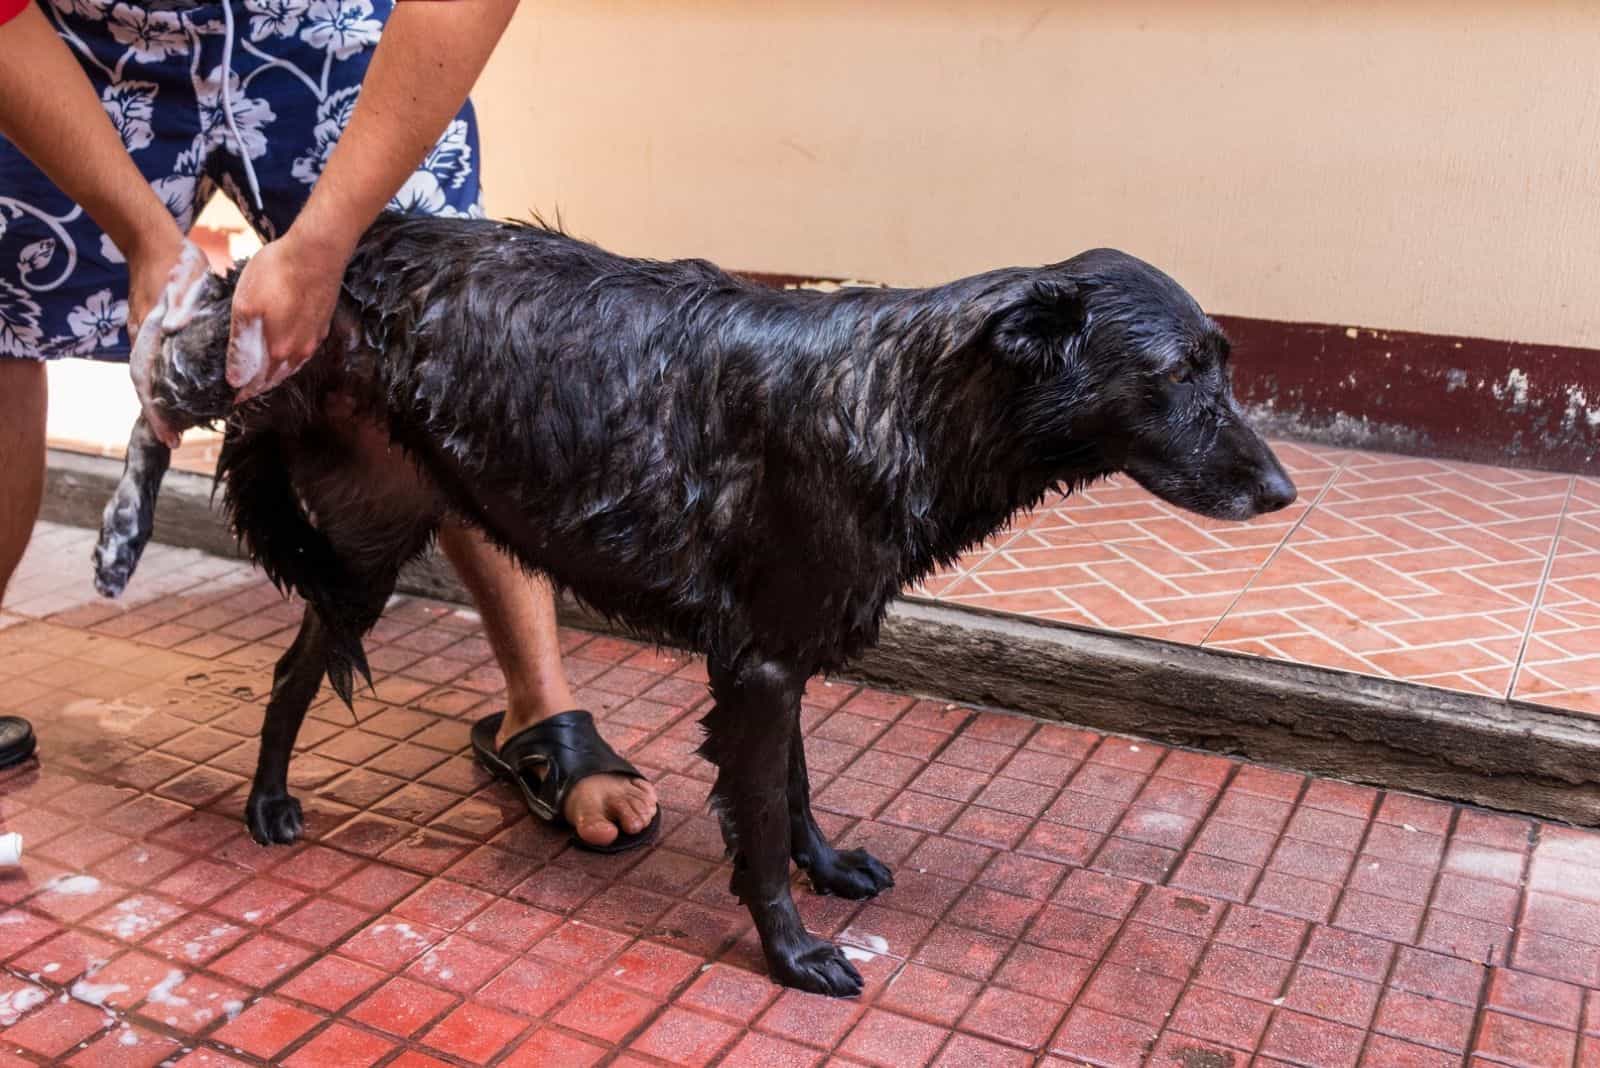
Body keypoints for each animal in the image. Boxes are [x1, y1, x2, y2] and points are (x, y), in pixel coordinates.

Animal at [93, 212, 1292, 997]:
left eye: (1225, 365)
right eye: (1177, 375)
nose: (1282, 491)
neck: (903, 396)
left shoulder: (782, 646)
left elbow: (795, 793)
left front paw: (828, 869)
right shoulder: (757, 664)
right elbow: (757, 821)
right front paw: (791, 951)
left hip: (367, 547)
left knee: (294, 668)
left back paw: (268, 800)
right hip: (246, 391)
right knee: (153, 380)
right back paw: (117, 539)